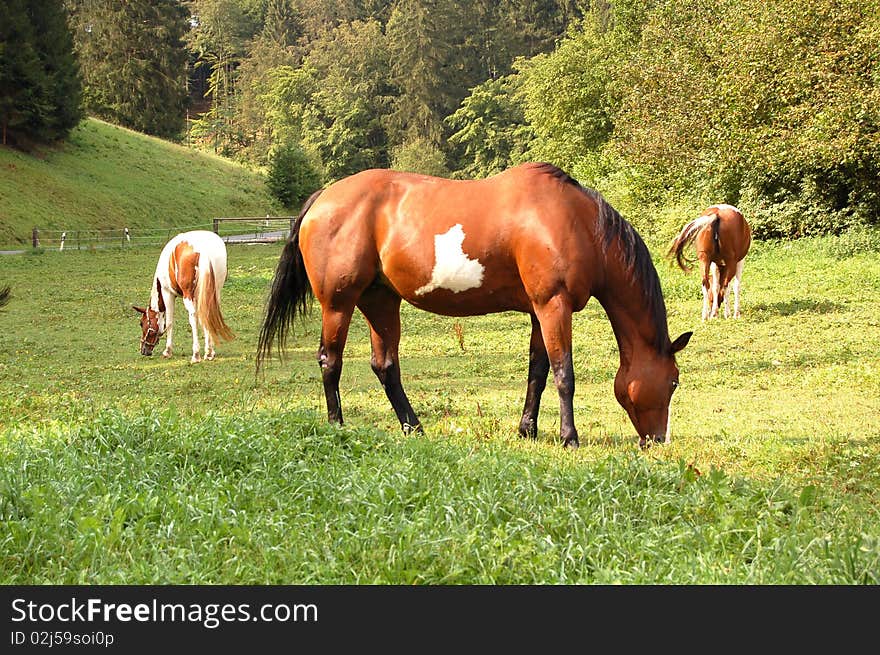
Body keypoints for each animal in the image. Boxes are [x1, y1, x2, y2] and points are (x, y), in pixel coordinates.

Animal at [134, 231, 234, 364]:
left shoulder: (168, 293)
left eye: (142, 323)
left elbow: (169, 322)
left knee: (194, 318)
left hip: (188, 296)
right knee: (208, 316)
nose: (143, 350)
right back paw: (208, 353)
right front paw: (209, 351)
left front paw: (167, 351)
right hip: (214, 293)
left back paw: (196, 355)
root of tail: (204, 249)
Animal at [258, 164, 692, 452]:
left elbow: (538, 371)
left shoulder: (538, 310)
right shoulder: (554, 305)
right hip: (338, 304)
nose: (658, 441)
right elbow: (563, 373)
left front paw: (527, 430)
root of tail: (323, 198)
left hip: (380, 301)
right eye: (673, 382)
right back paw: (338, 425)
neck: (577, 223)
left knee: (385, 366)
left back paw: (414, 428)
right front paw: (569, 438)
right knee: (330, 361)